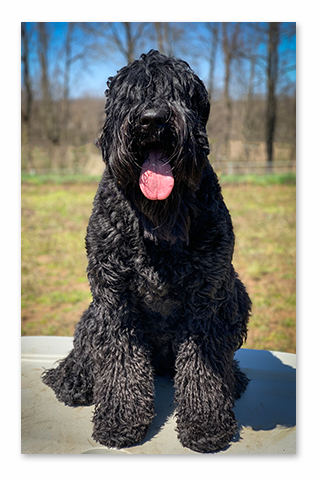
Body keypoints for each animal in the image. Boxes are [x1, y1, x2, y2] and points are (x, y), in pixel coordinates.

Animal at [42, 50, 251, 452]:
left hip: (236, 295)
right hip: (93, 314)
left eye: (179, 91)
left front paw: (205, 423)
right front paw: (121, 420)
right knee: (85, 349)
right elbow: (121, 360)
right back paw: (72, 380)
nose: (152, 119)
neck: (157, 220)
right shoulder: (114, 295)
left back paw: (233, 381)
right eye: (130, 93)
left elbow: (203, 365)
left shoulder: (206, 298)